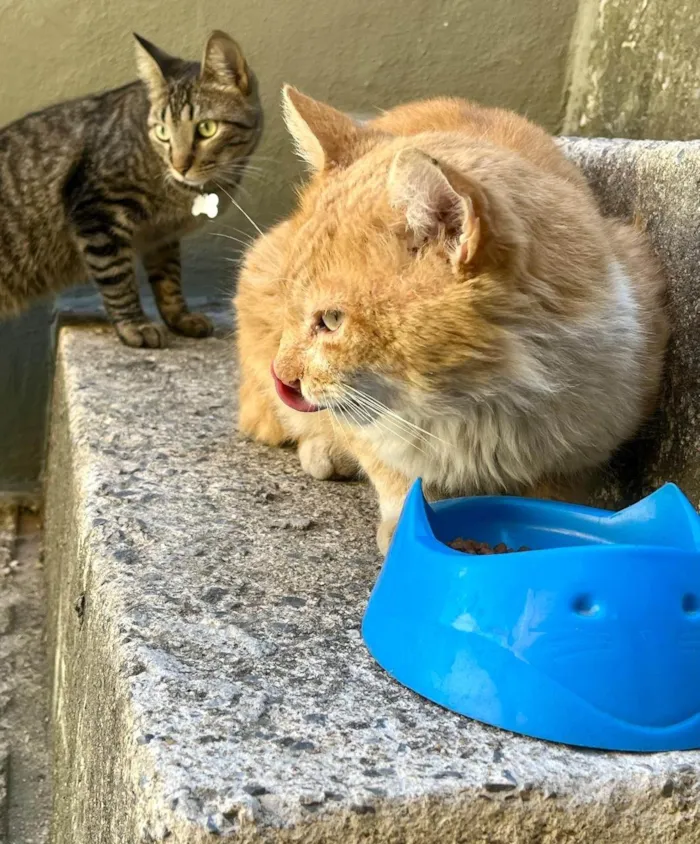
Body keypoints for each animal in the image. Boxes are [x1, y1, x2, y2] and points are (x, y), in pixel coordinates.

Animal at [0, 29, 260, 346]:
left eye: (206, 128)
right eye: (163, 132)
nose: (179, 165)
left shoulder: (162, 237)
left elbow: (169, 280)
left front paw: (180, 318)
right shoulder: (97, 213)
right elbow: (117, 277)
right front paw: (134, 325)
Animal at [234, 89, 668, 552]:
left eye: (331, 320)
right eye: (290, 307)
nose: (283, 375)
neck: (479, 403)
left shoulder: (587, 447)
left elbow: (553, 499)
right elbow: (395, 472)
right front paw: (405, 525)